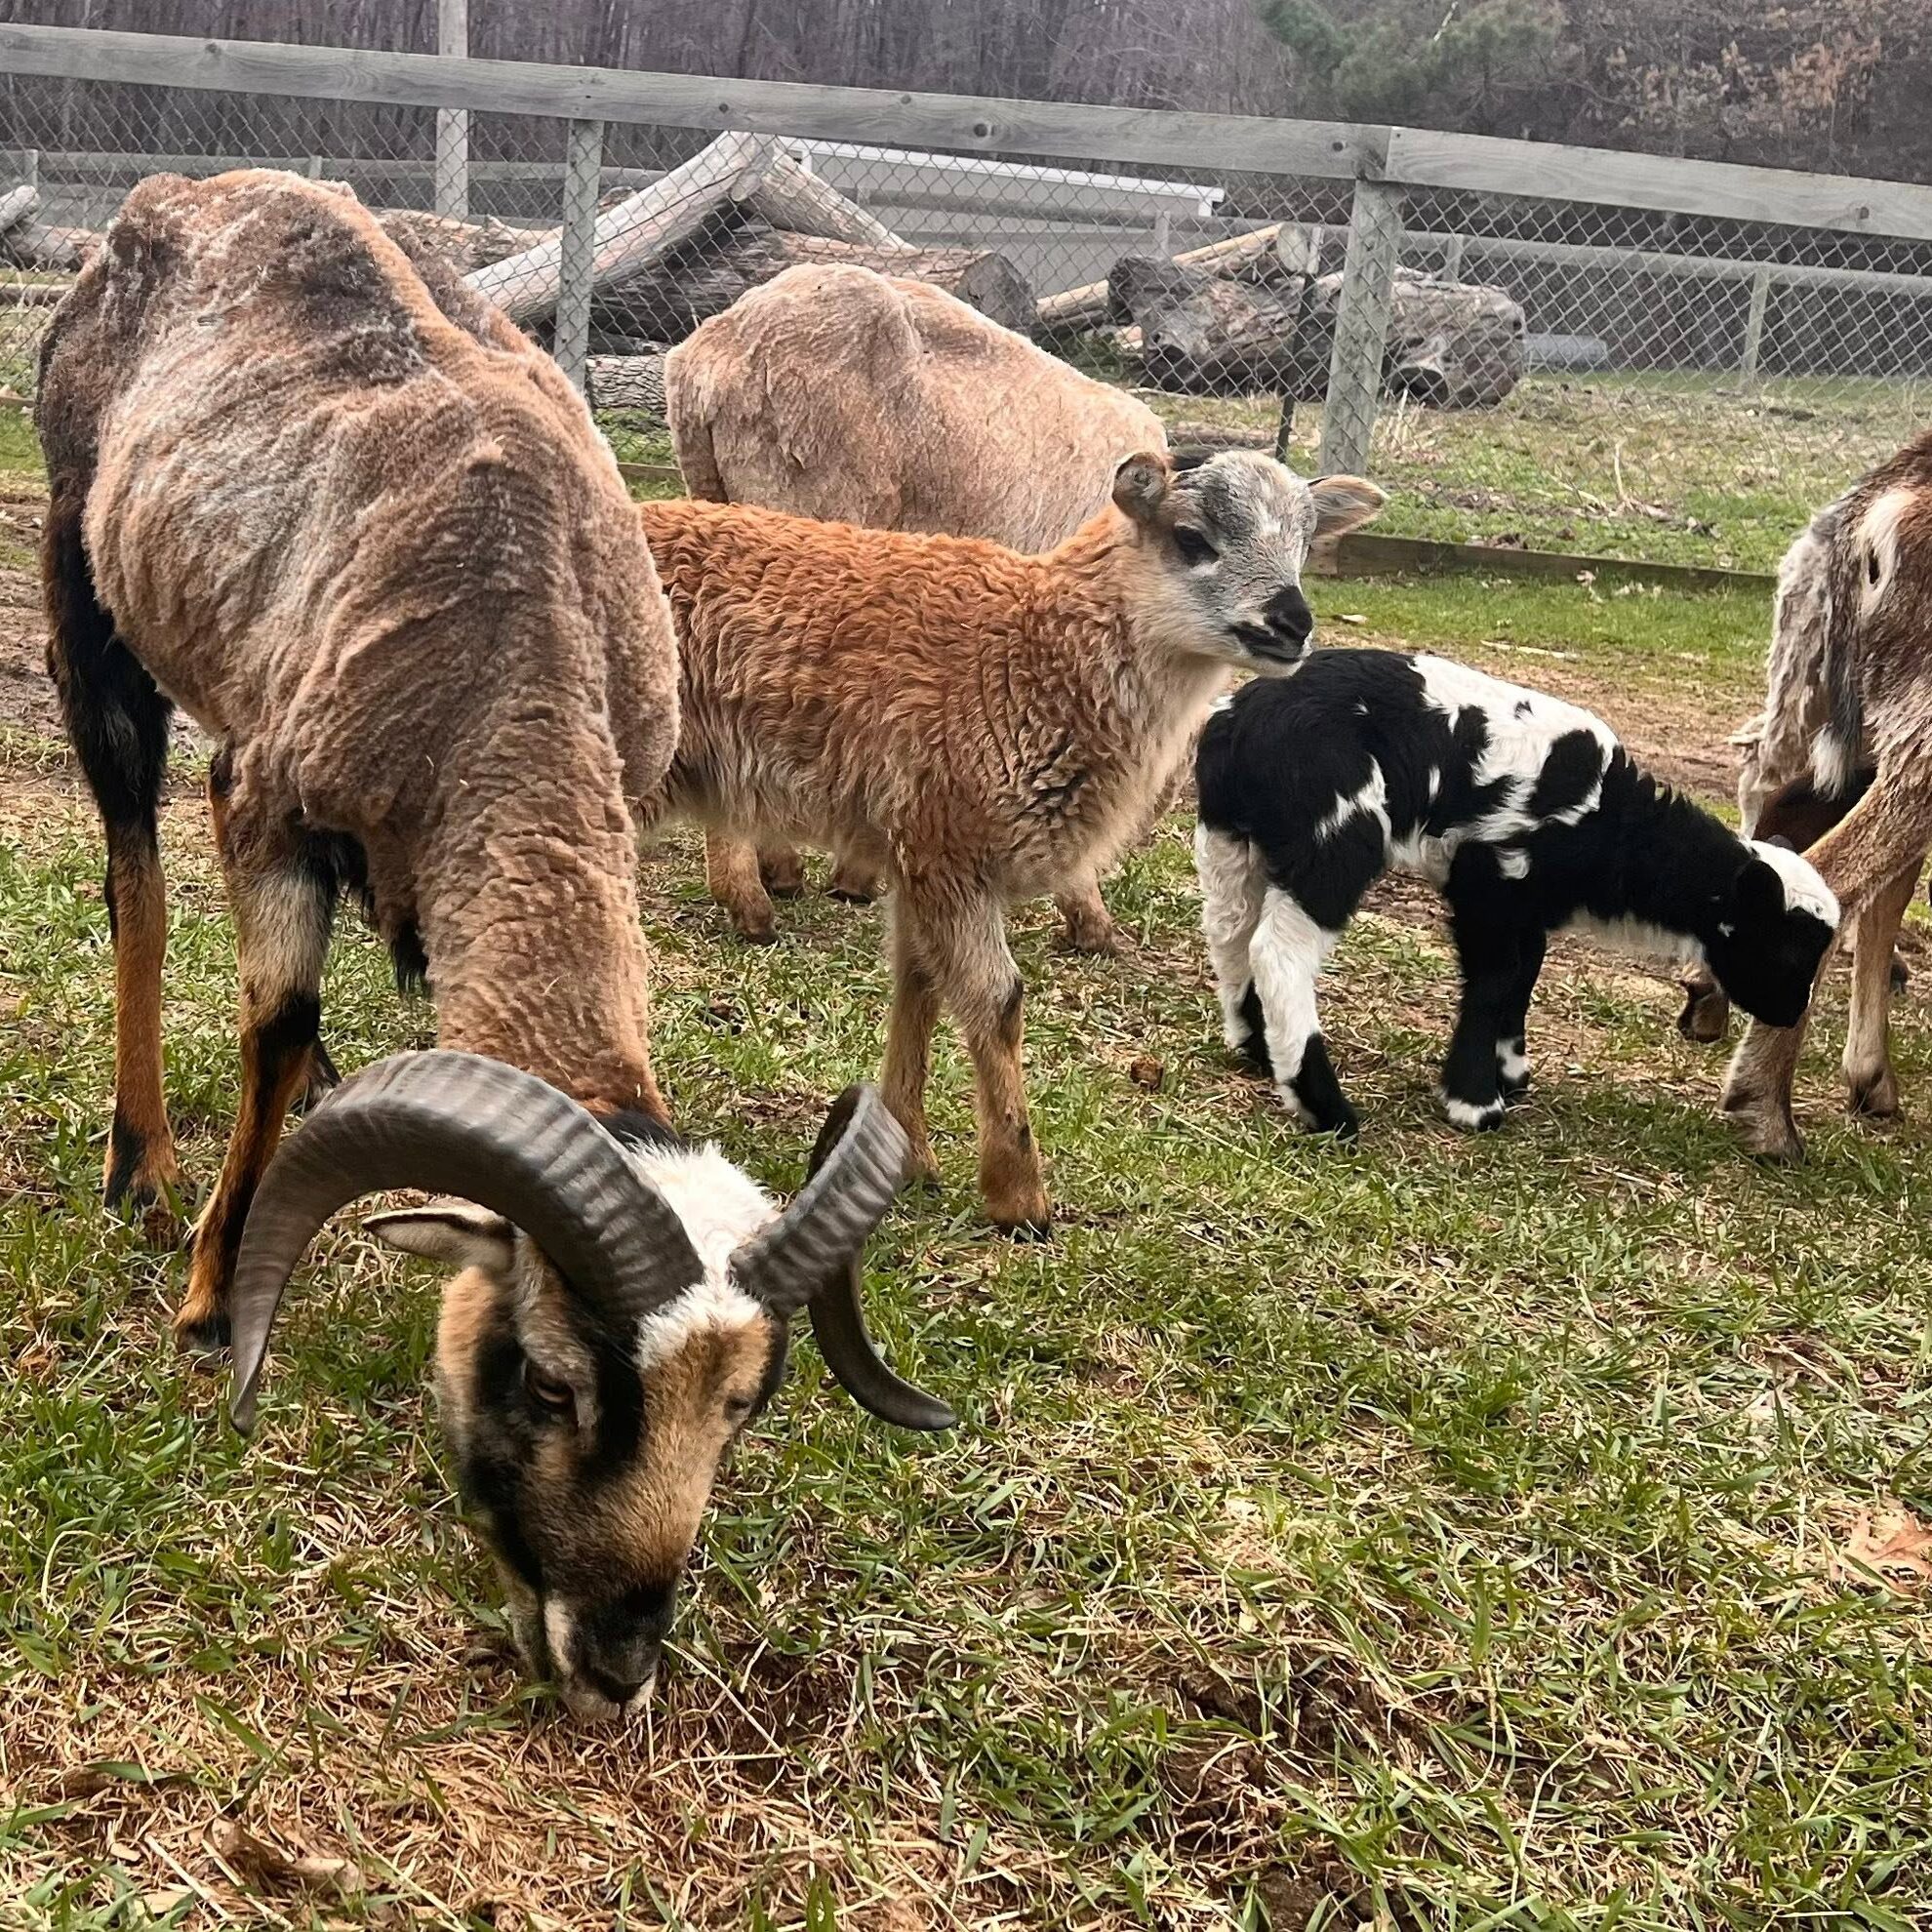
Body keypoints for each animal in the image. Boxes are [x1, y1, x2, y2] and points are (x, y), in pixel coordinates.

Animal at [38, 171, 948, 1719]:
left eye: (744, 1410)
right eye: (548, 1382)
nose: (617, 1657)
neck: (506, 620)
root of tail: (180, 194)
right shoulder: (271, 803)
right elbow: (272, 1021)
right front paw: (213, 1298)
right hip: (83, 590)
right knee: (134, 876)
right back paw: (143, 1163)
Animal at [637, 450, 1385, 1229]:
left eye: (1304, 544)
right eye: (1191, 538)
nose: (1291, 623)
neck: (1034, 652)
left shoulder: (918, 852)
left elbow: (919, 986)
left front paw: (908, 1151)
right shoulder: (949, 842)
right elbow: (997, 1002)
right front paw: (1019, 1195)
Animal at [1194, 649, 1838, 1136]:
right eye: (1785, 948)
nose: (1792, 1012)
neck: (1615, 828)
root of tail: (1242, 719)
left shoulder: (1523, 904)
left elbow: (1525, 974)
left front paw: (1509, 1071)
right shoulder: (1491, 878)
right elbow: (1496, 980)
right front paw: (1475, 1103)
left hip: (1232, 837)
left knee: (1230, 931)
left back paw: (1258, 1049)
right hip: (1335, 833)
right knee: (1278, 953)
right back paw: (1325, 1108)